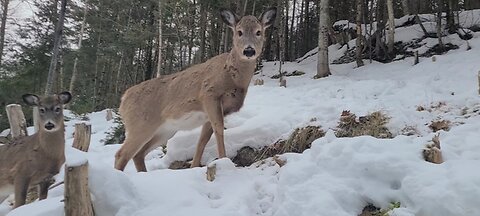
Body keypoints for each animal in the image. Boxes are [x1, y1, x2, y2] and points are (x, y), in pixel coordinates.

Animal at [113, 7, 278, 171]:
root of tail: (123, 99)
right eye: (239, 32)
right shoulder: (208, 94)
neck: (233, 80)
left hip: (164, 130)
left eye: (258, 32)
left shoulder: (215, 111)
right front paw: (224, 160)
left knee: (138, 154)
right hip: (140, 124)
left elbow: (203, 140)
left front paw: (194, 166)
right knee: (122, 154)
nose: (249, 51)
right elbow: (219, 130)